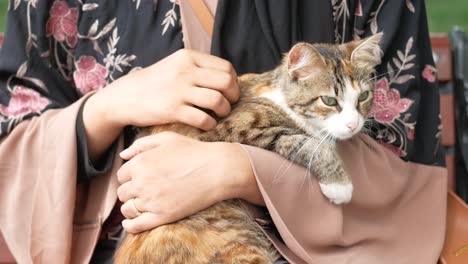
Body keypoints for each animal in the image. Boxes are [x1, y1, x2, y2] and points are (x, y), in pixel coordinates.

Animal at [114, 33, 384, 264]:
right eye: (328, 100)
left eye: (363, 97)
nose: (353, 124)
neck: (278, 96)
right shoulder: (238, 128)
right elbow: (308, 144)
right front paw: (339, 184)